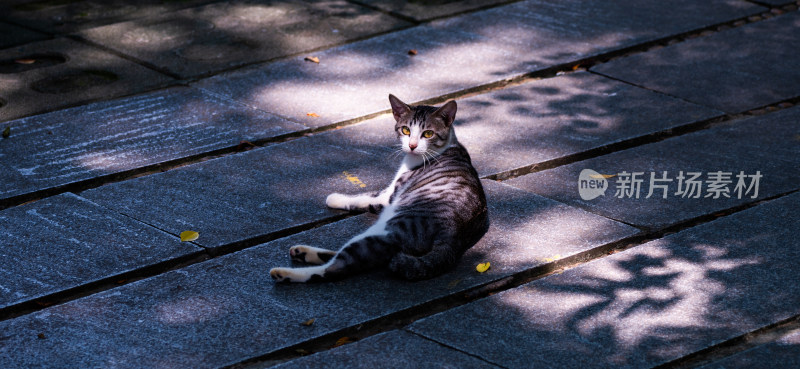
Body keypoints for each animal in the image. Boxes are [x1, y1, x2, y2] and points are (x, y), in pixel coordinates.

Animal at [270, 94, 488, 282]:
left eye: (428, 133)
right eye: (406, 130)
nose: (412, 146)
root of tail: (452, 238)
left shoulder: (389, 194)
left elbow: (364, 196)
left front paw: (334, 198)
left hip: (387, 232)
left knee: (335, 268)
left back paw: (284, 273)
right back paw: (302, 252)